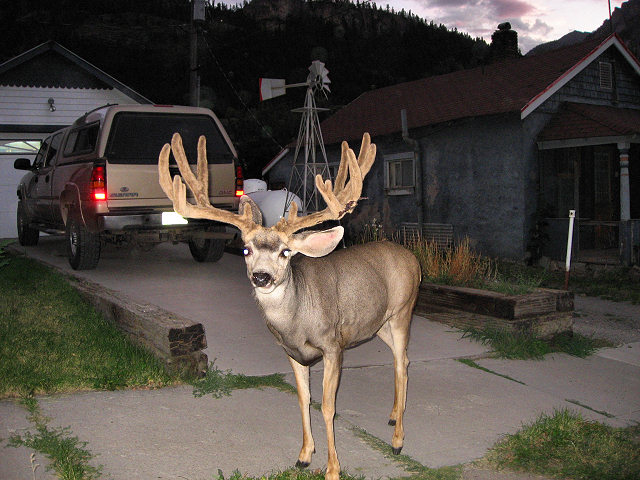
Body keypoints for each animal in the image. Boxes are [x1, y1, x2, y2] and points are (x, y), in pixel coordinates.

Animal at [158, 132, 421, 480]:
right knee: (402, 360)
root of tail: (413, 259)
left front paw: (333, 469)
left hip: (403, 310)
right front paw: (305, 455)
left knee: (402, 363)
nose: (261, 276)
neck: (297, 321)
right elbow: (302, 400)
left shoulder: (332, 345)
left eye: (285, 252)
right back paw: (393, 416)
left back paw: (398, 440)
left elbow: (328, 406)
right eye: (246, 250)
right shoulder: (293, 352)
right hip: (377, 324)